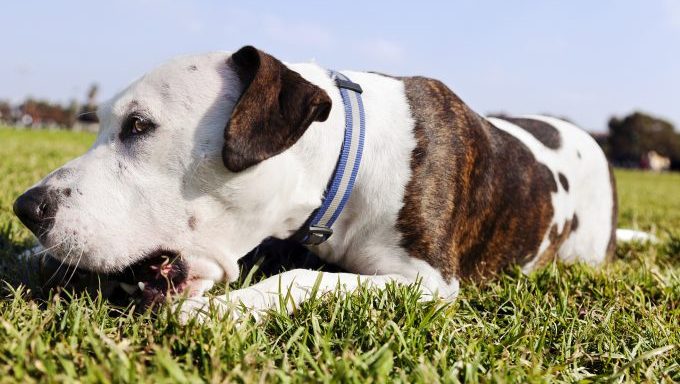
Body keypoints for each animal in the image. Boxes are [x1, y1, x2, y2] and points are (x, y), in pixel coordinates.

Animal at [14, 44, 620, 320]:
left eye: (139, 126)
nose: (26, 207)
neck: (346, 161)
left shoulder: (427, 283)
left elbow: (306, 278)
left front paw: (219, 310)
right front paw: (29, 255)